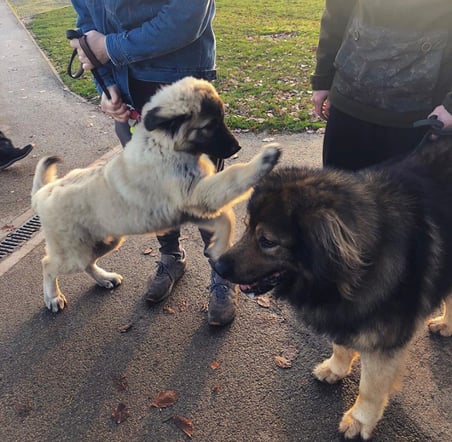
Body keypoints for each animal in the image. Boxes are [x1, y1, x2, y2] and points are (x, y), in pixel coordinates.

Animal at [214, 137, 452, 438]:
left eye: (267, 241)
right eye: (246, 227)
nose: (218, 266)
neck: (365, 256)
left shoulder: (384, 341)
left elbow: (370, 387)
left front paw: (360, 420)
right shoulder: (343, 312)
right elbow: (341, 345)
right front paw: (336, 369)